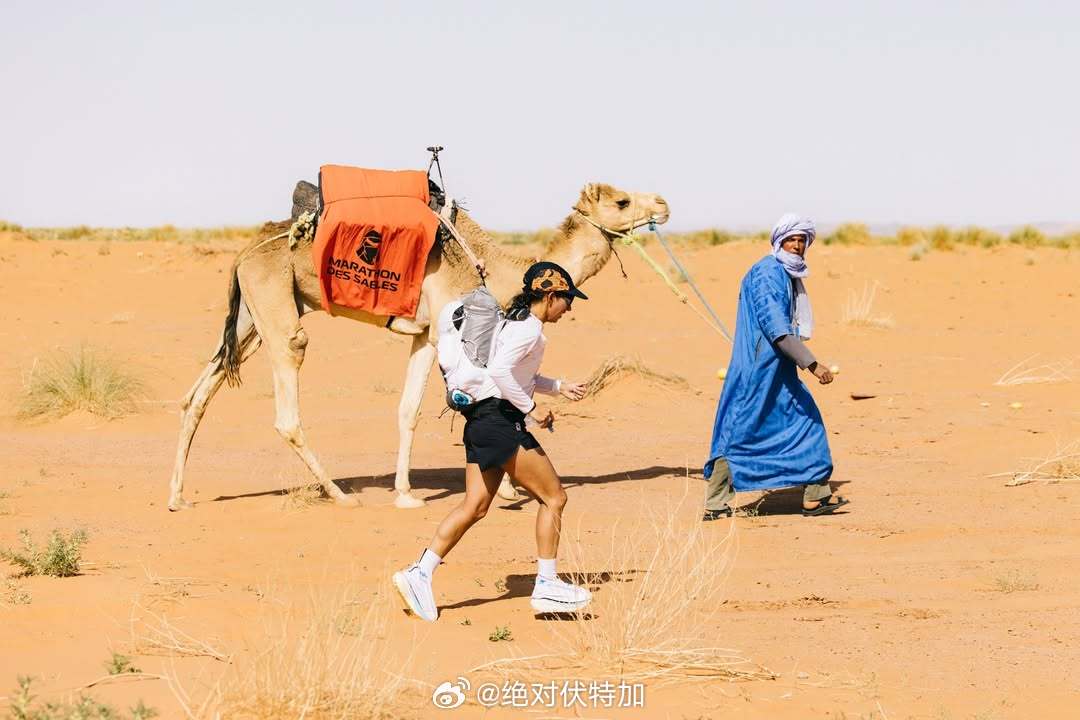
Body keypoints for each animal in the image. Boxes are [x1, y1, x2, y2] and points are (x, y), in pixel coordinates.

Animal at [167, 182, 669, 511]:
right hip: (276, 312)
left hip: (251, 319)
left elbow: (412, 408)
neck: (497, 271)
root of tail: (242, 253)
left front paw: (419, 490)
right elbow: (444, 404)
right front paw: (480, 491)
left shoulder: (425, 335)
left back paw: (177, 497)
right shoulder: (447, 331)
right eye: (622, 200)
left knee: (197, 395)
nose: (663, 205)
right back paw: (339, 495)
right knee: (287, 406)